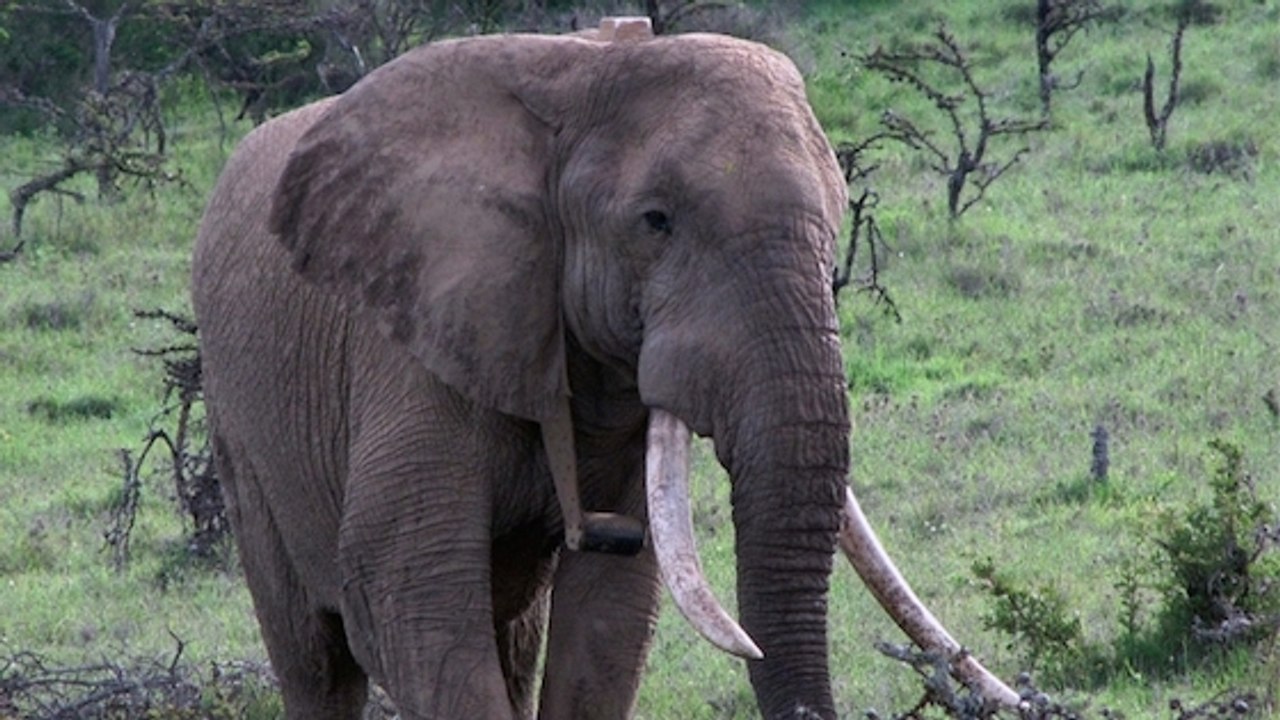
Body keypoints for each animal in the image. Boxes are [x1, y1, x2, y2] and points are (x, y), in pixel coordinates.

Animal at [192, 19, 1017, 720]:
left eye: (839, 218)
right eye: (656, 222)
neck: (580, 72)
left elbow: (610, 613)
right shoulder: (416, 342)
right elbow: (408, 597)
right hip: (239, 427)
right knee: (315, 661)